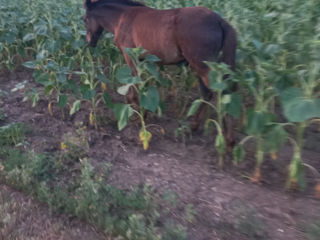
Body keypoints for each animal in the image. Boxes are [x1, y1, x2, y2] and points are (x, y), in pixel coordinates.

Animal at [82, 0, 238, 146]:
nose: (90, 43)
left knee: (221, 92)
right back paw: (195, 126)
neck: (122, 17)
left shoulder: (130, 56)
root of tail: (219, 20)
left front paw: (140, 113)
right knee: (208, 93)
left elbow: (135, 84)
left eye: (84, 19)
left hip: (201, 64)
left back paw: (229, 139)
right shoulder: (145, 61)